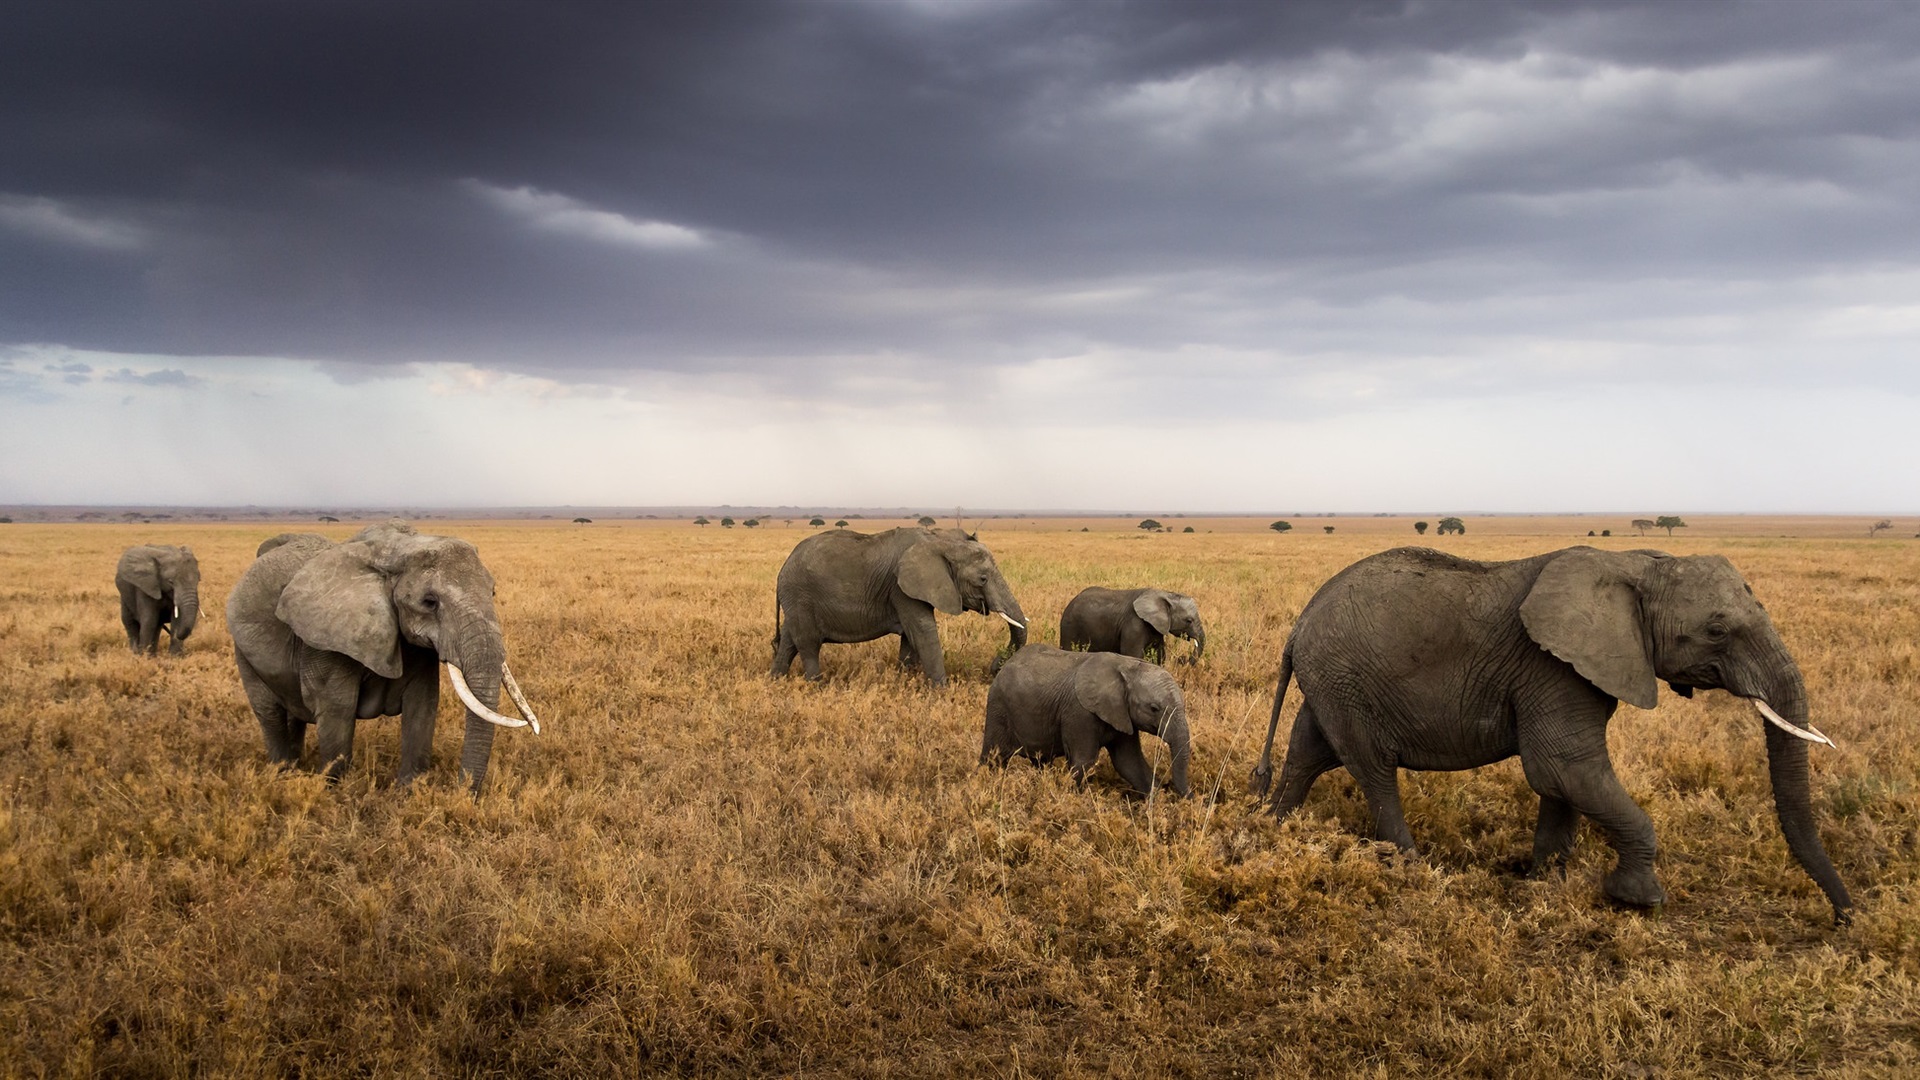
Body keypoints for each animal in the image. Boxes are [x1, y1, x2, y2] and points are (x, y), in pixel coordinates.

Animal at [225, 520, 542, 793]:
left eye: (493, 592)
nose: (463, 792)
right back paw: (283, 773)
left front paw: (408, 790)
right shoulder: (324, 641)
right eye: (429, 602)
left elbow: (423, 704)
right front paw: (336, 792)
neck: (397, 551)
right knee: (269, 712)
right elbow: (337, 710)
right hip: (243, 652)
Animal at [772, 526, 1027, 687]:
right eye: (982, 579)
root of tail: (782, 568)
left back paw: (775, 681)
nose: (995, 667)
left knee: (789, 640)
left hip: (796, 600)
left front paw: (906, 683)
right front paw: (940, 692)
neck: (939, 539)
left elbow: (910, 639)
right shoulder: (901, 588)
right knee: (808, 643)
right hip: (801, 596)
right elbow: (923, 632)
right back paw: (817, 686)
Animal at [980, 644, 1191, 797]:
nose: (1188, 797)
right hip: (998, 708)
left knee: (1040, 761)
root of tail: (1006, 664)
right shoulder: (1079, 713)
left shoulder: (1122, 715)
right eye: (1154, 708)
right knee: (993, 756)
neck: (1126, 666)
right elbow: (1084, 761)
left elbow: (1129, 762)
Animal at [1059, 586, 1205, 663]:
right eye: (1189, 620)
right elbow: (1133, 654)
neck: (1165, 594)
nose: (1181, 658)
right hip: (1069, 626)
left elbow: (1159, 654)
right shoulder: (1134, 624)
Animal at [1248, 546, 1852, 925]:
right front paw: (1639, 901)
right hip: (1346, 680)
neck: (1638, 563)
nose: (1845, 918)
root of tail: (1299, 624)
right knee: (1373, 771)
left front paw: (1546, 881)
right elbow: (1563, 768)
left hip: (1331, 681)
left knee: (1307, 754)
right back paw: (1413, 868)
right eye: (1717, 631)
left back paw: (1271, 831)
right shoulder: (1552, 667)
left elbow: (1563, 781)